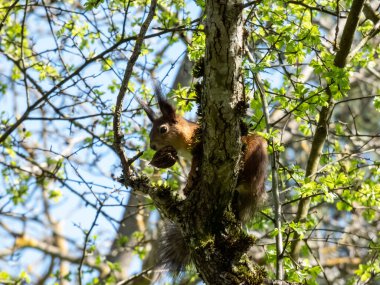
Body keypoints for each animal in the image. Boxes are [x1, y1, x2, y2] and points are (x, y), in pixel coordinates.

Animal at [140, 90, 268, 272]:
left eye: (163, 129)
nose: (152, 146)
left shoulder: (198, 142)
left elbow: (196, 161)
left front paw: (190, 180)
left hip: (254, 155)